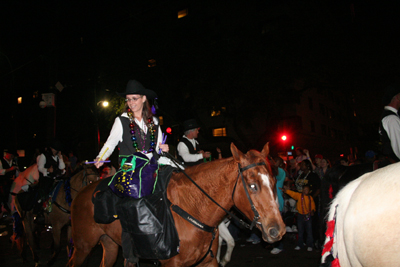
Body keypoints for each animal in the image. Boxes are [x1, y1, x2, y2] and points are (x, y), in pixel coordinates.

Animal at [67, 143, 284, 266]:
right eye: (253, 185)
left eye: (274, 182)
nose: (278, 230)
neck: (193, 207)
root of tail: (80, 194)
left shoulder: (207, 262)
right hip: (83, 246)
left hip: (110, 244)